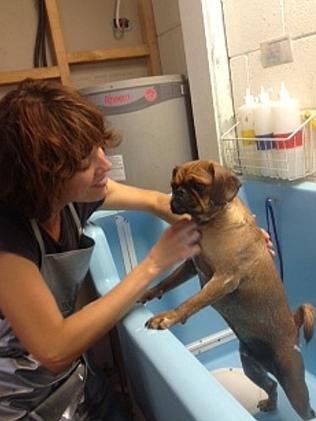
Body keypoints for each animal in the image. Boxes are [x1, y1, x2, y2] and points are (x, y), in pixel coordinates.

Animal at [141, 159, 316, 418]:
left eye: (198, 185)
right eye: (173, 185)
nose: (178, 193)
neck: (210, 223)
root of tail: (294, 325)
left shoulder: (223, 279)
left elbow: (191, 302)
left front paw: (168, 317)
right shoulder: (191, 267)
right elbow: (167, 281)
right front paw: (150, 292)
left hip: (294, 386)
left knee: (306, 409)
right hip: (251, 368)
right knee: (272, 385)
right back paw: (270, 404)